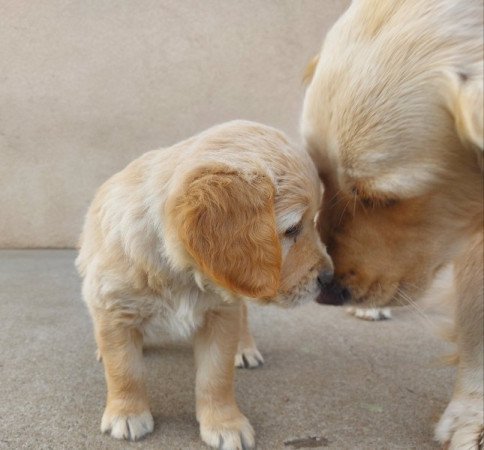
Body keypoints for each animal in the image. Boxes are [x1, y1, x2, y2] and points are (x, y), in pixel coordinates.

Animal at [76, 120, 332, 450]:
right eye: (292, 229)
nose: (328, 277)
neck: (181, 272)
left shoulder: (221, 314)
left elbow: (216, 377)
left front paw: (224, 423)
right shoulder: (113, 308)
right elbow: (124, 369)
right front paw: (128, 413)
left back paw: (245, 348)